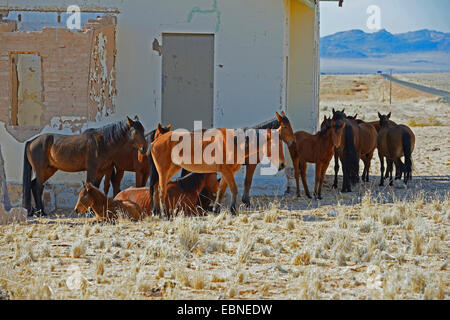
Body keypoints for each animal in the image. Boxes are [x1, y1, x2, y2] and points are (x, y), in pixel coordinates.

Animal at [150, 125, 284, 215]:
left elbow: (221, 191)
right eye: (274, 145)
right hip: (163, 170)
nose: (282, 164)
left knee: (156, 188)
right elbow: (234, 189)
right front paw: (233, 210)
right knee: (161, 190)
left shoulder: (227, 173)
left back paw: (156, 211)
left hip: (171, 169)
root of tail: (156, 141)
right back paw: (164, 213)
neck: (235, 143)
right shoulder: (227, 171)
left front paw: (216, 209)